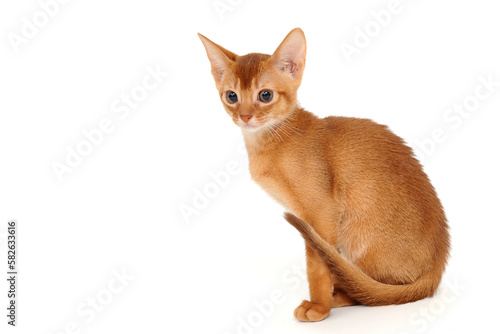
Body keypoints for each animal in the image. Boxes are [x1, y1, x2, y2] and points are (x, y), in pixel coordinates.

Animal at [198, 29, 450, 324]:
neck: (274, 140)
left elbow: (316, 266)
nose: (245, 116)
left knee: (378, 291)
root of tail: (438, 266)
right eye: (232, 96)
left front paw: (319, 307)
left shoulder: (322, 213)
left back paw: (342, 294)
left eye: (265, 95)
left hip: (355, 231)